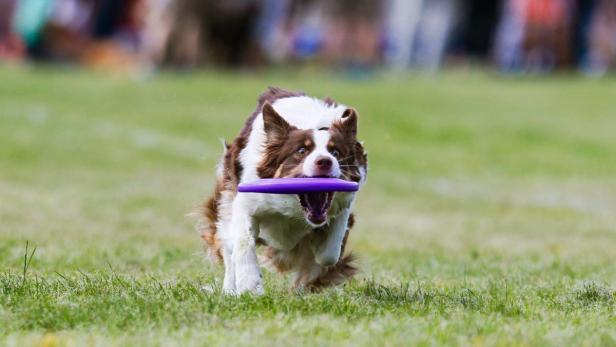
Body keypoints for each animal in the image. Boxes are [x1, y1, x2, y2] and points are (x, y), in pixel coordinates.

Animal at [200, 86, 368, 294]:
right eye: (301, 151)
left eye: (336, 152)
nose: (325, 161)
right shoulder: (247, 202)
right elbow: (243, 243)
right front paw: (250, 285)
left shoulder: (344, 205)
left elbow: (329, 253)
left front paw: (317, 246)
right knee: (229, 247)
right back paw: (230, 289)